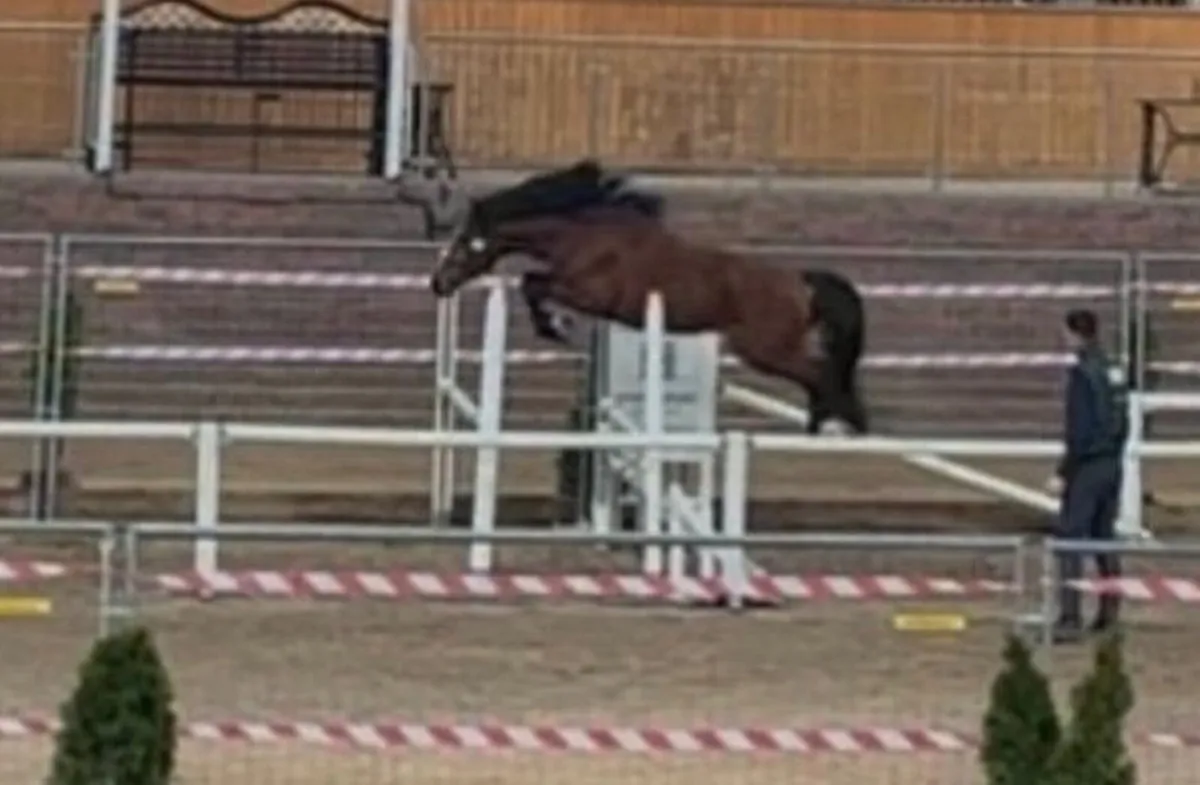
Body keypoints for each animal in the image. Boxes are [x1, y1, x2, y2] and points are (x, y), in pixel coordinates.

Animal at [428, 160, 869, 434]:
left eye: (465, 244)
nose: (438, 283)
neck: (583, 234)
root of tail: (800, 282)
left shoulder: (589, 293)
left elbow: (533, 283)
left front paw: (555, 326)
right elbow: (532, 282)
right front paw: (556, 324)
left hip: (764, 349)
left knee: (819, 373)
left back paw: (830, 426)